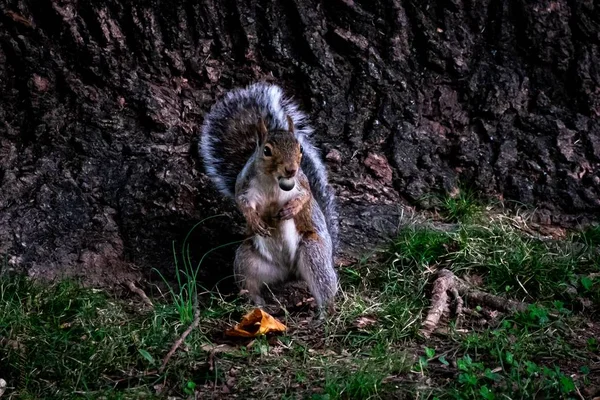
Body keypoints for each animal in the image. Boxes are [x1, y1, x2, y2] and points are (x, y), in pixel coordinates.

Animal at [200, 82, 340, 312]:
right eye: (266, 150)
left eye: (300, 148)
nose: (291, 169)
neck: (273, 181)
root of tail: (289, 272)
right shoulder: (245, 186)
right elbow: (242, 203)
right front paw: (254, 220)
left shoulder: (302, 183)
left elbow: (305, 196)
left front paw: (292, 208)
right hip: (247, 260)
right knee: (250, 284)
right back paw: (256, 305)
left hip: (313, 251)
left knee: (324, 284)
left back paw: (324, 312)